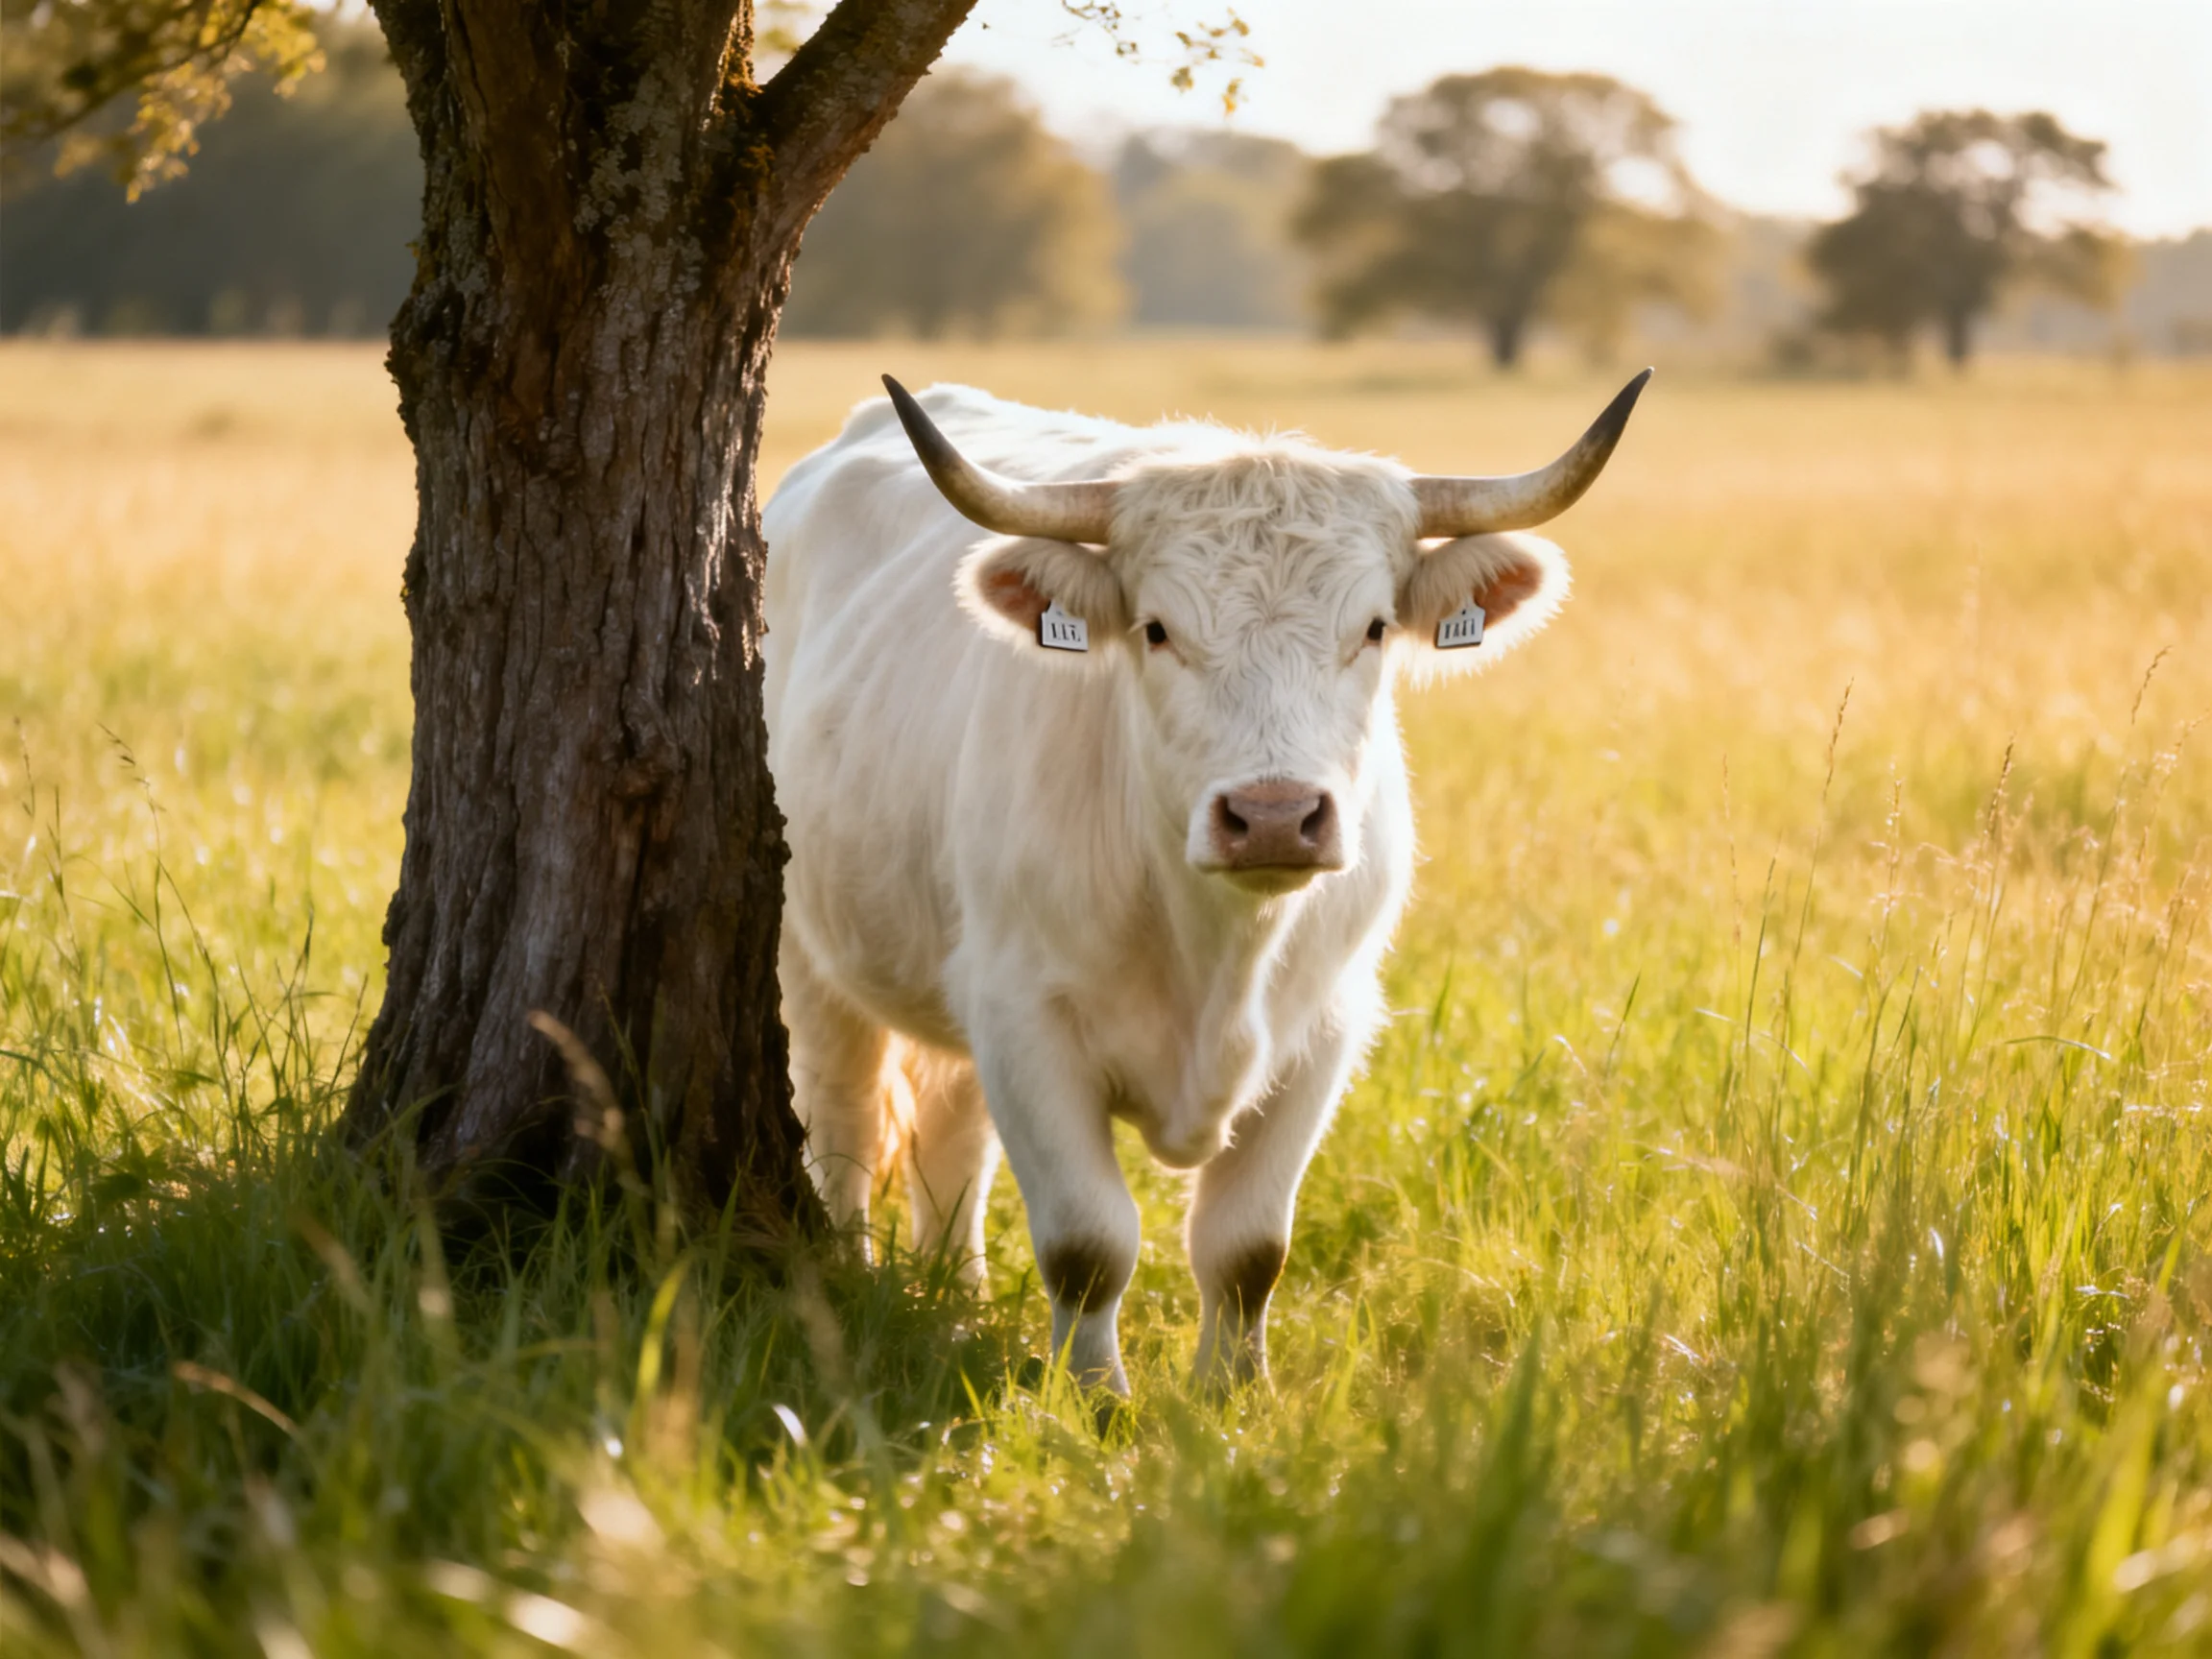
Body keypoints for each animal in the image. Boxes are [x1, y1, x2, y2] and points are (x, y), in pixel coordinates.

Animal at [761, 371, 1649, 1395]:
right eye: (1156, 629)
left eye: (1374, 627)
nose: (1272, 813)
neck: (1216, 950)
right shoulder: (1026, 1018)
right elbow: (1088, 1243)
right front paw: (1094, 1398)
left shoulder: (1325, 1029)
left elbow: (1247, 1247)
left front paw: (1233, 1393)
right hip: (813, 962)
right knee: (845, 1128)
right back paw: (857, 1276)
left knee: (950, 1141)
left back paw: (958, 1297)